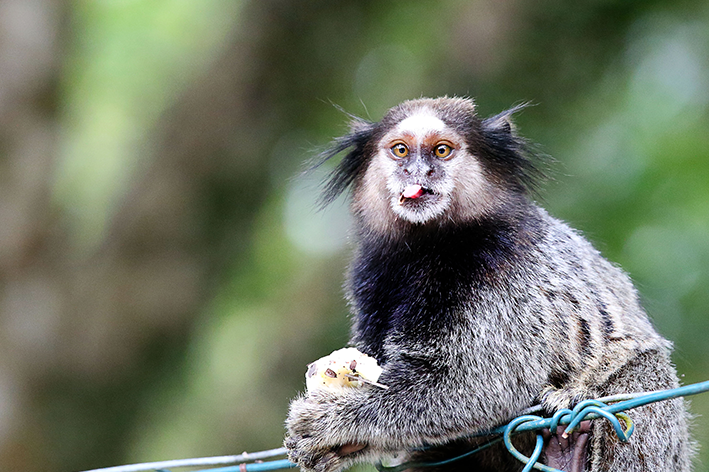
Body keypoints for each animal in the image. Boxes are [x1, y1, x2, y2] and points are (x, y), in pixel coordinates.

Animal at [284, 97, 692, 470]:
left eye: (442, 150)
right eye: (400, 149)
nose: (418, 173)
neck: (429, 247)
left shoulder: (506, 271)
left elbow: (483, 382)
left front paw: (332, 420)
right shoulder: (371, 276)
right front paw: (337, 446)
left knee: (639, 370)